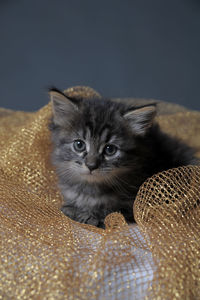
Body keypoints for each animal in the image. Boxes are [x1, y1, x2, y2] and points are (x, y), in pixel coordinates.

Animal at [48, 88, 197, 229]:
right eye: (79, 145)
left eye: (110, 149)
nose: (91, 166)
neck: (91, 188)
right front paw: (72, 209)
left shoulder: (139, 202)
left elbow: (111, 211)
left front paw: (88, 216)